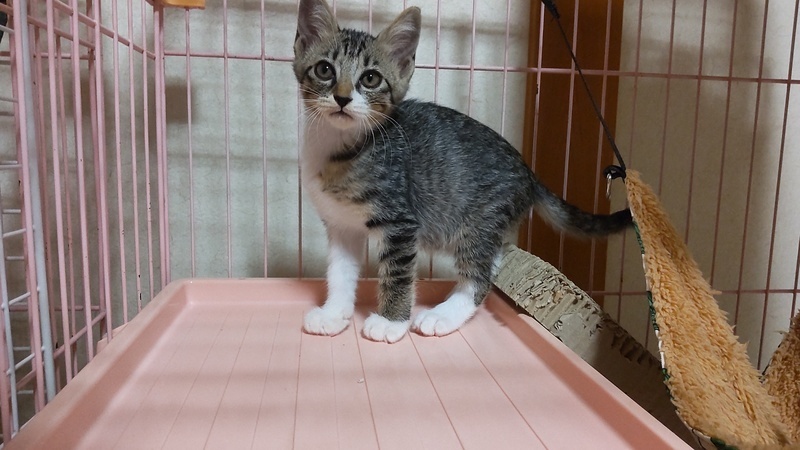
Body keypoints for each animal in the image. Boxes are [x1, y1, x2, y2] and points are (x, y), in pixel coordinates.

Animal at [294, 0, 631, 343]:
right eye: (324, 70)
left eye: (371, 78)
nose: (342, 97)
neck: (342, 151)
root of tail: (528, 172)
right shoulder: (340, 224)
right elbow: (339, 271)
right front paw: (334, 313)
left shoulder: (401, 222)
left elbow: (398, 273)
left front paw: (391, 321)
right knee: (495, 258)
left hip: (480, 220)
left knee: (480, 274)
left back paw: (444, 315)